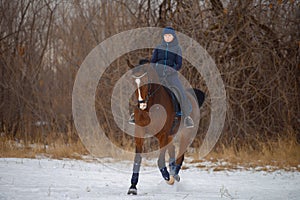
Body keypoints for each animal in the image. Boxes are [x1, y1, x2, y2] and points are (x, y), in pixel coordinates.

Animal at [126, 59, 206, 195]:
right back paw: (173, 173)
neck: (151, 107)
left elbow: (160, 161)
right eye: (132, 82)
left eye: (147, 80)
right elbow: (138, 159)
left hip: (185, 135)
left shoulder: (163, 135)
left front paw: (169, 178)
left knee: (180, 156)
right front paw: (133, 187)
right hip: (171, 136)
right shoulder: (140, 133)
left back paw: (174, 176)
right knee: (173, 151)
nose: (141, 105)